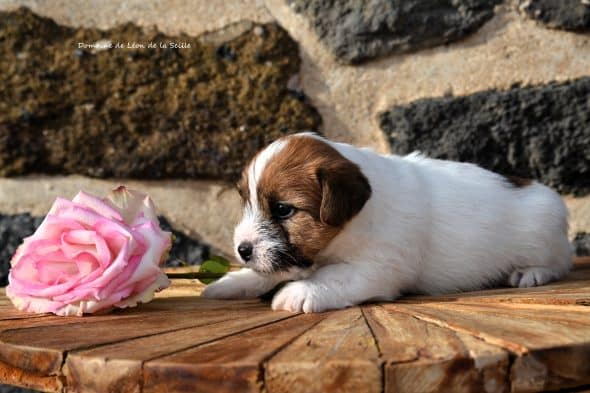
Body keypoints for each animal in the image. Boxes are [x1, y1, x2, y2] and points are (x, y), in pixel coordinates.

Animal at [204, 133, 572, 310]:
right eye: (246, 201)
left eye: (282, 210)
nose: (242, 249)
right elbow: (273, 270)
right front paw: (234, 281)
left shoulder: (378, 268)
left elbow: (333, 276)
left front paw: (300, 292)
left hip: (543, 233)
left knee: (559, 262)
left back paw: (530, 273)